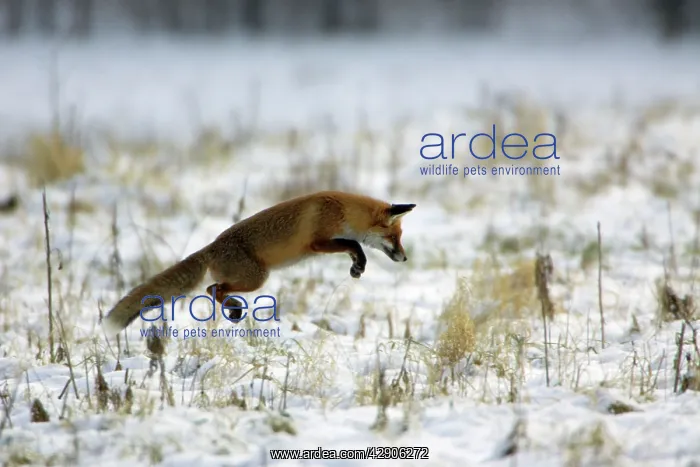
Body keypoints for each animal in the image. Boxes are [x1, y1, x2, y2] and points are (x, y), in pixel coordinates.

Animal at [101, 190, 416, 336]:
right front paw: (359, 261)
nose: (404, 257)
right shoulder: (318, 241)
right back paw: (234, 310)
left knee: (213, 289)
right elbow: (355, 244)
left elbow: (354, 248)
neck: (343, 210)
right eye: (395, 237)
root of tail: (211, 247)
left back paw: (232, 310)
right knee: (213, 289)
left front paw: (356, 267)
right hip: (257, 278)